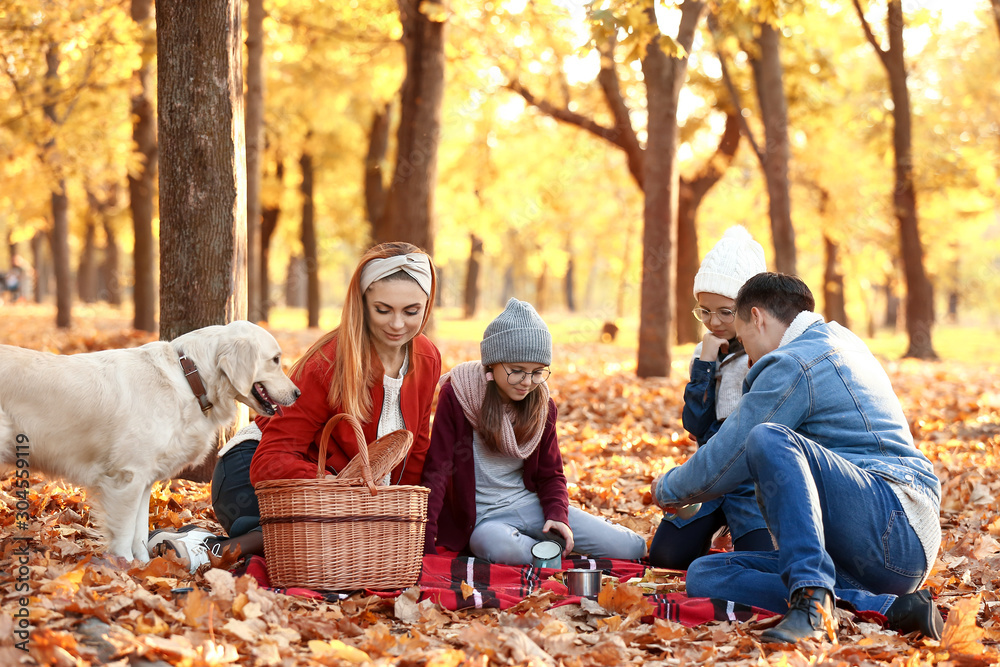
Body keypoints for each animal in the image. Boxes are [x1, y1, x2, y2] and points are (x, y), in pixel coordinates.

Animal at [0, 320, 296, 560]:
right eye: (275, 359)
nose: (298, 393)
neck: (189, 378)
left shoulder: (143, 481)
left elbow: (140, 531)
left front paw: (144, 566)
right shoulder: (126, 478)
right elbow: (124, 532)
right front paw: (125, 570)